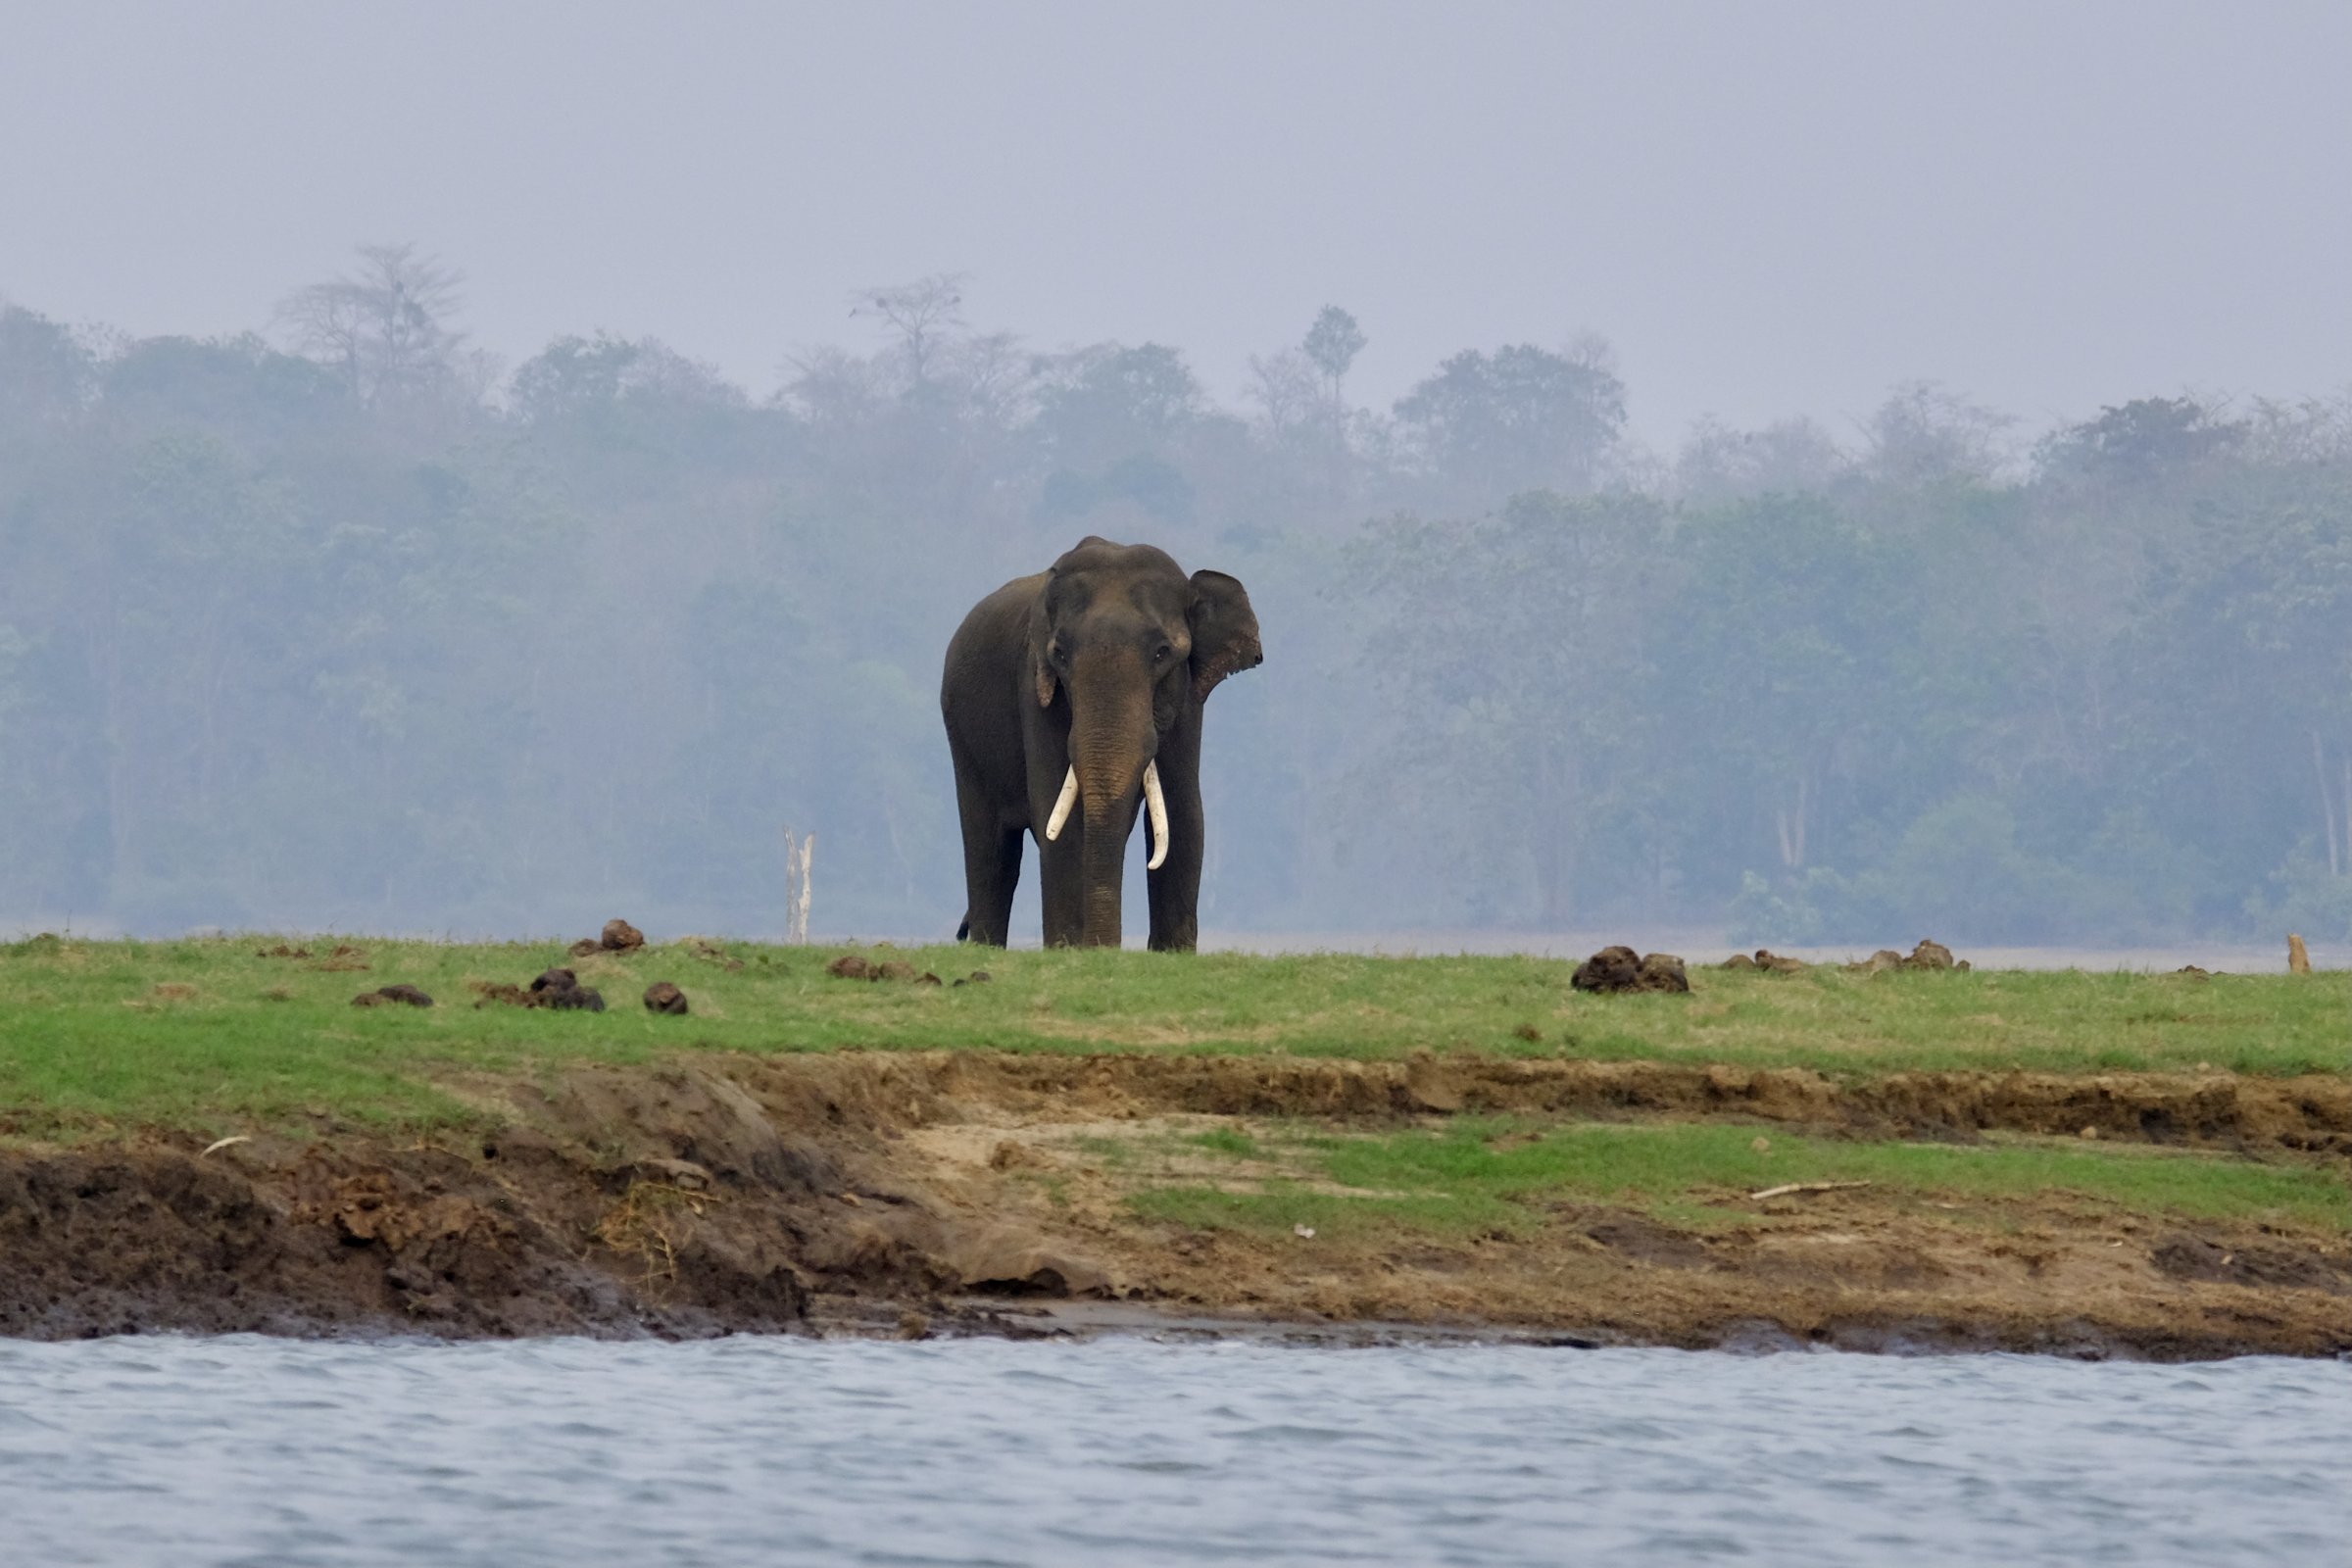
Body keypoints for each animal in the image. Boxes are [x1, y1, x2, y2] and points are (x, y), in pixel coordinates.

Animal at [941, 537, 1262, 950]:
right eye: (1059, 654)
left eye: (1163, 653)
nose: (1104, 947)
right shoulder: (1034, 688)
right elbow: (1055, 813)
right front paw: (1066, 948)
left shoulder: (1189, 701)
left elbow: (1184, 813)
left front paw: (1172, 954)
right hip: (962, 739)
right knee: (991, 851)